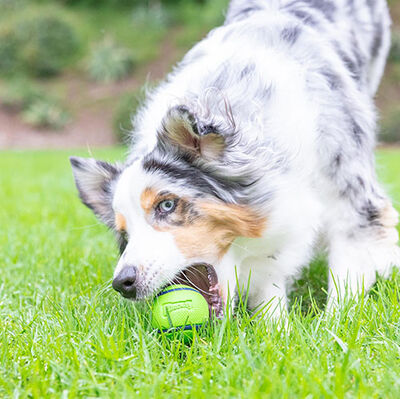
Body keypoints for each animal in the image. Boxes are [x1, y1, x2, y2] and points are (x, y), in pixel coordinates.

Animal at [70, 0, 398, 318]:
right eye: (124, 234)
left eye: (167, 205)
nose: (123, 283)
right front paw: (276, 328)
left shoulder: (353, 203)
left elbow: (346, 284)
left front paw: (333, 324)